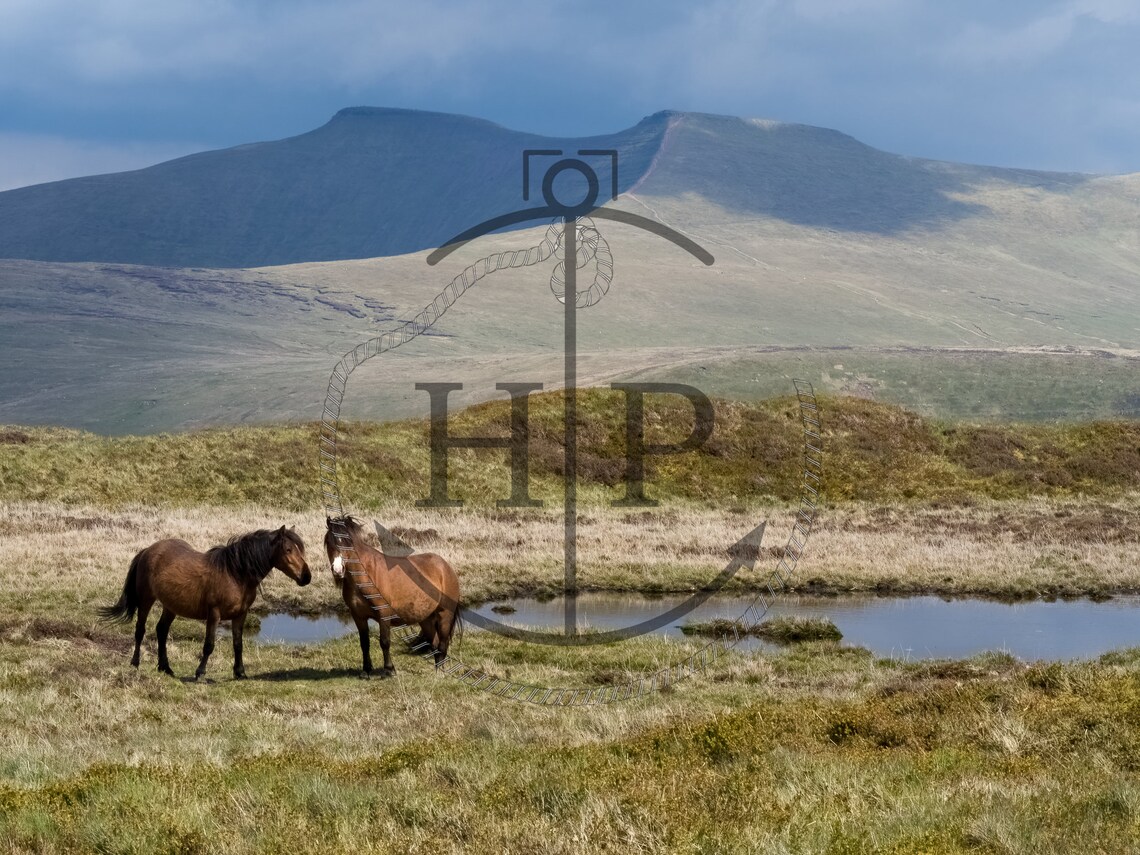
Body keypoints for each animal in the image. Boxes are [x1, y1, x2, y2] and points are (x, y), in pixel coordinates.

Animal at [99, 526, 311, 680]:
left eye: (301, 549)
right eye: (288, 549)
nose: (306, 577)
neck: (235, 574)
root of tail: (148, 550)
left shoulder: (240, 615)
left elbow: (238, 644)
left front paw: (240, 673)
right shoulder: (214, 614)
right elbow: (209, 644)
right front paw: (200, 673)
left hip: (170, 606)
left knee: (161, 630)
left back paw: (165, 668)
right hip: (146, 599)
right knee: (140, 630)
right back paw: (135, 663)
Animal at [325, 516, 461, 676]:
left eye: (347, 542)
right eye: (328, 542)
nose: (338, 570)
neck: (365, 576)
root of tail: (445, 567)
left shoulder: (384, 614)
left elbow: (384, 641)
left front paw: (389, 670)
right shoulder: (358, 616)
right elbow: (364, 643)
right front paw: (366, 670)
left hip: (445, 614)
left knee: (443, 644)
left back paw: (441, 673)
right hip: (426, 618)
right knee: (434, 644)